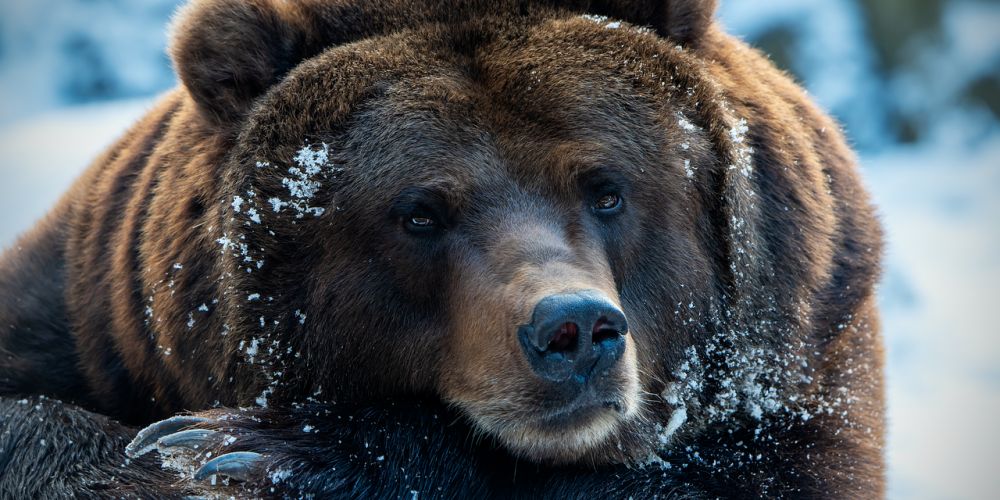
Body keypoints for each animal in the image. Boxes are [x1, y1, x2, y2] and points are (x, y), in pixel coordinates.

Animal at [0, 0, 886, 498]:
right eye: (420, 213)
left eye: (606, 188)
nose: (574, 330)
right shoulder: (96, 314)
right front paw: (171, 455)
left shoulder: (810, 340)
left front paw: (251, 448)